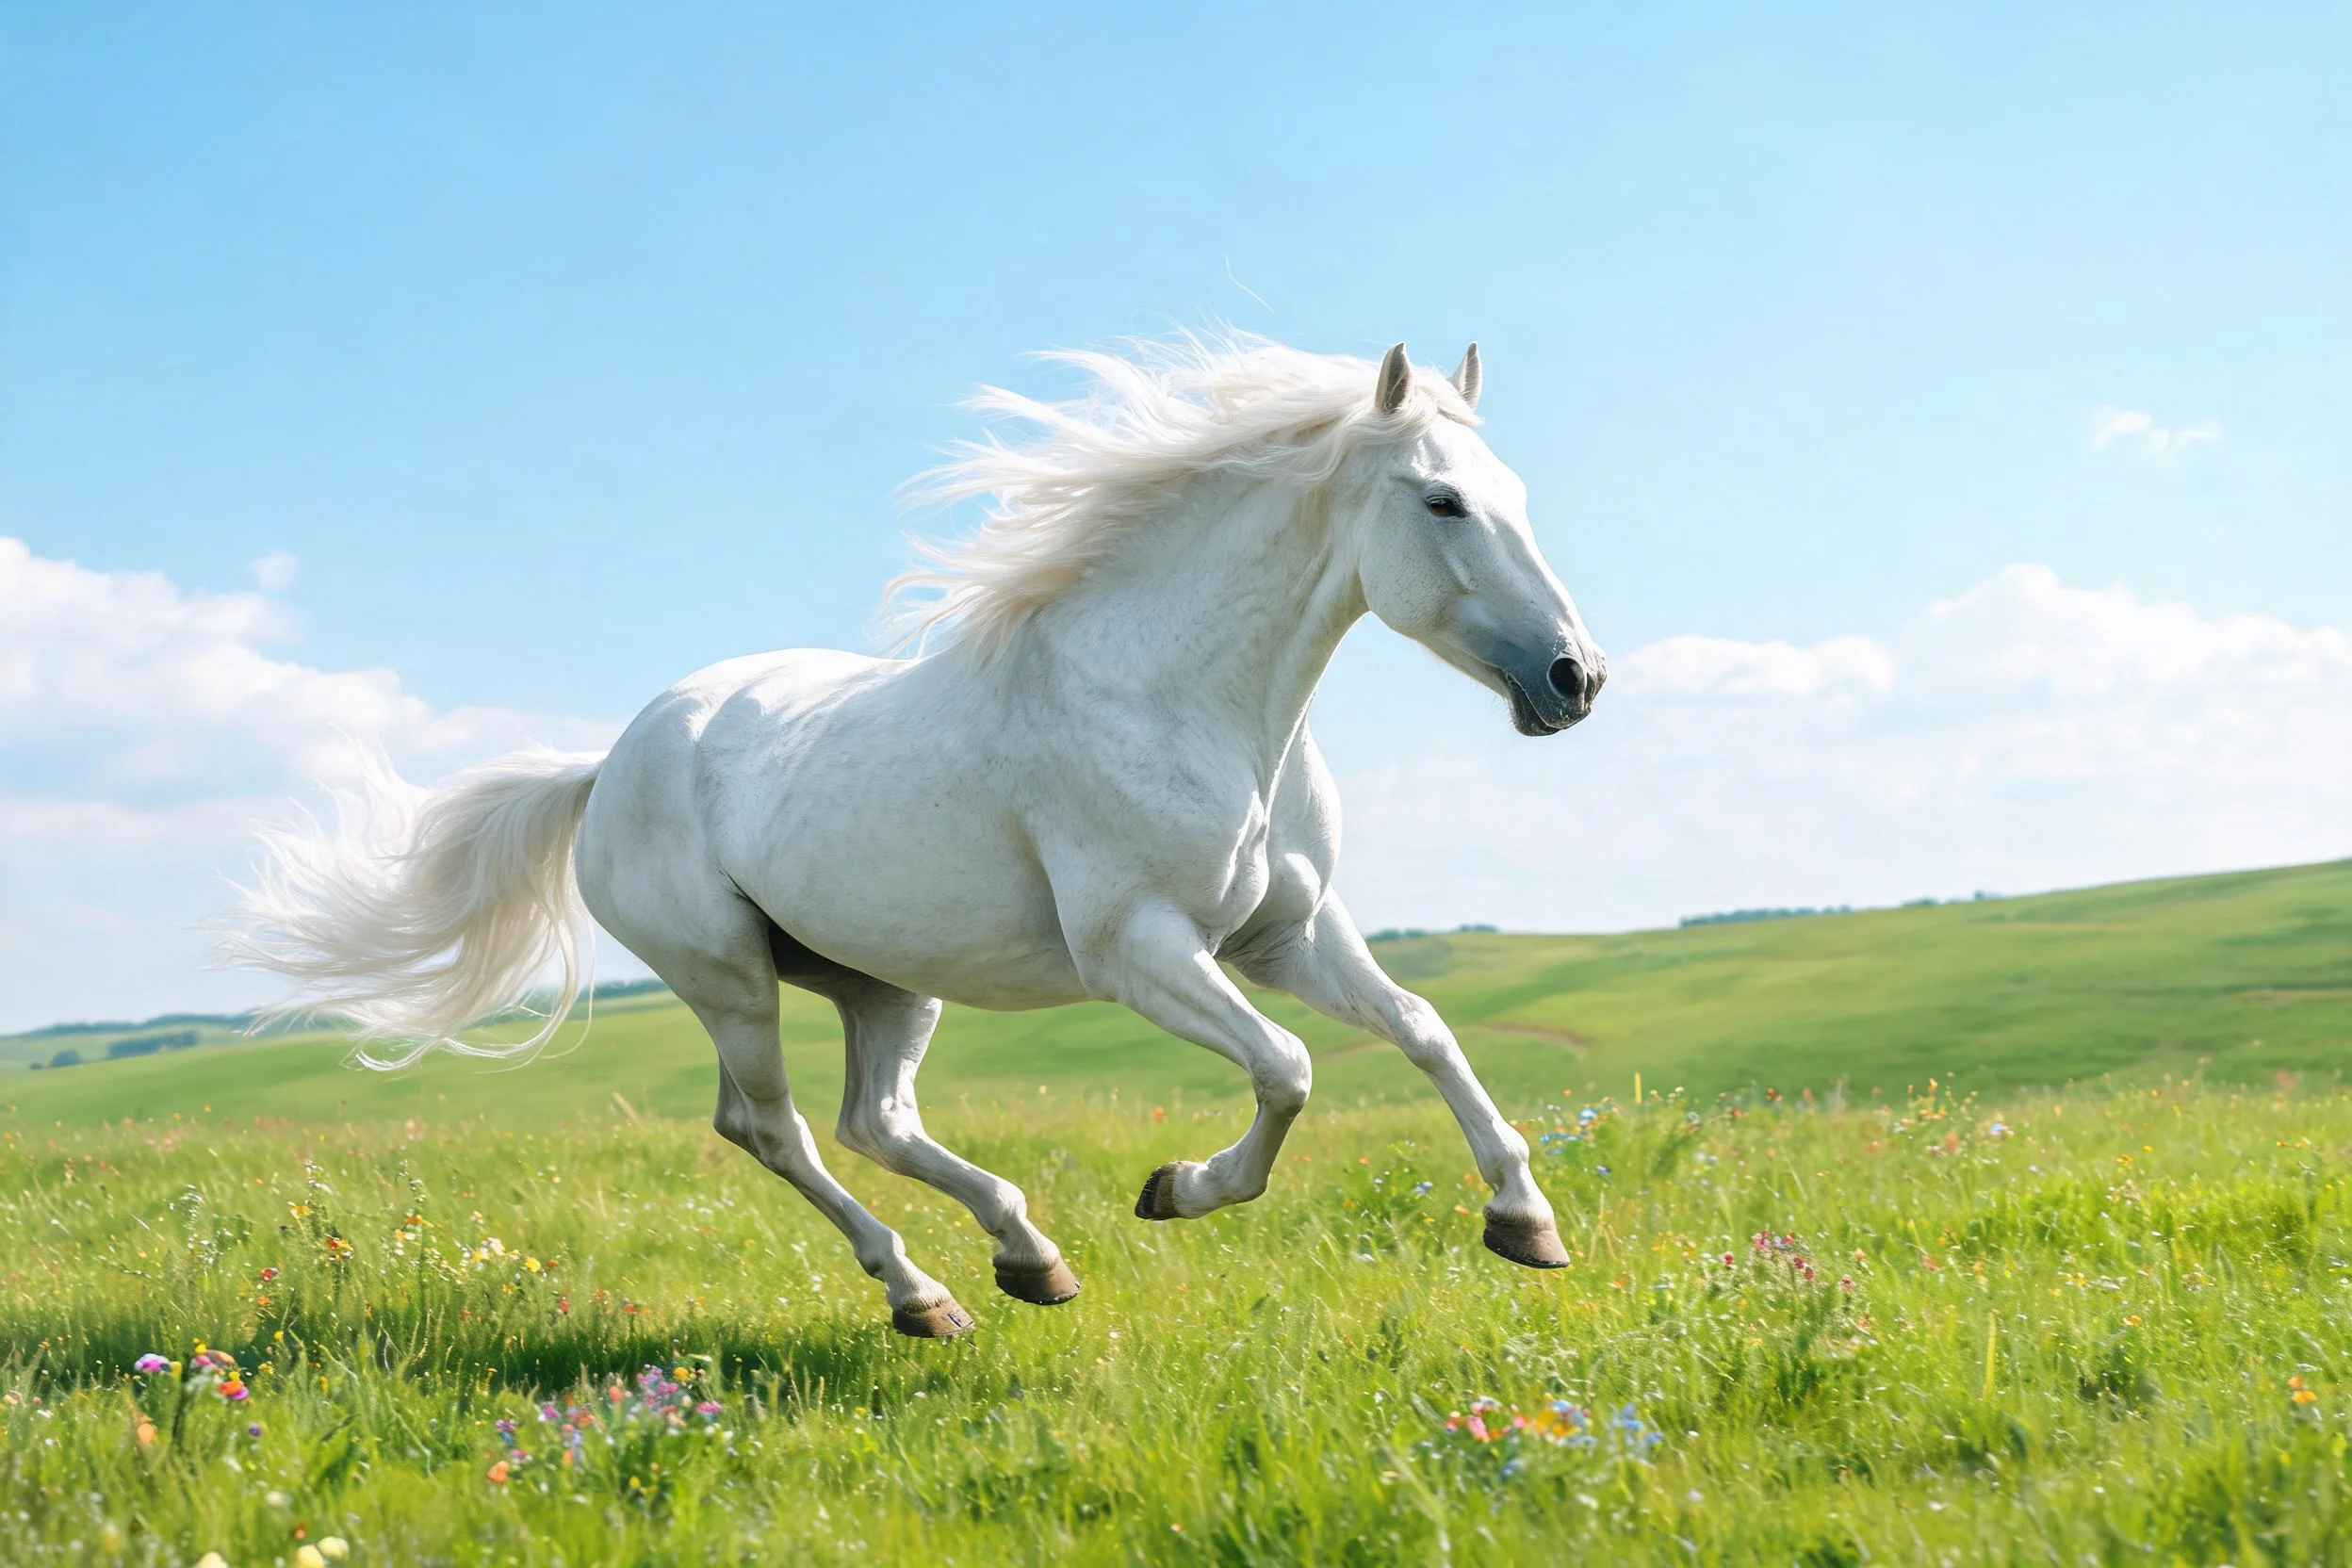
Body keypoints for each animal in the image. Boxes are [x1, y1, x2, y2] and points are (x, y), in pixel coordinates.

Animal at [230, 335, 1608, 1337]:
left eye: (1516, 495)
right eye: (1442, 500)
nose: (1576, 677)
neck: (1181, 696)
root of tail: (607, 766)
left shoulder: (1288, 932)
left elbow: (1422, 1030)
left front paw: (1525, 1221)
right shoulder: (1142, 949)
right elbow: (1289, 1069)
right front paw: (1180, 1190)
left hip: (882, 981)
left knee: (872, 1123)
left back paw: (1026, 1257)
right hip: (727, 978)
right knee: (773, 1130)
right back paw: (925, 1292)